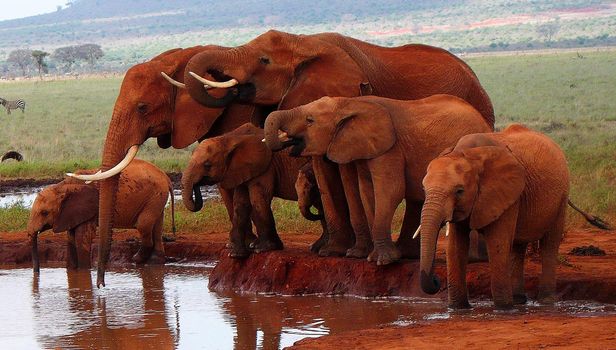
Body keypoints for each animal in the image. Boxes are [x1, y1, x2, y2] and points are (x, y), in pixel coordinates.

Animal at [28, 159, 173, 274]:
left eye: (44, 213)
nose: (36, 272)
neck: (62, 186)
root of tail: (166, 178)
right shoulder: (70, 213)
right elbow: (71, 238)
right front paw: (72, 270)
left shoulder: (87, 209)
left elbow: (81, 239)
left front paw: (83, 272)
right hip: (156, 198)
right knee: (157, 227)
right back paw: (154, 262)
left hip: (155, 197)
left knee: (143, 225)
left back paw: (136, 259)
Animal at [180, 123, 320, 258]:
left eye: (207, 165)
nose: (197, 184)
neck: (229, 138)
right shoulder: (241, 170)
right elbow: (240, 204)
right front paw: (236, 255)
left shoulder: (265, 167)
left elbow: (258, 199)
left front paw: (263, 249)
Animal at [264, 94, 490, 264]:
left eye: (310, 120)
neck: (349, 103)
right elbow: (366, 191)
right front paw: (367, 257)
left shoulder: (390, 149)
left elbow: (390, 190)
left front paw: (383, 261)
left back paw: (473, 259)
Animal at [418, 124, 572, 310]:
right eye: (424, 189)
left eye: (459, 191)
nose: (436, 280)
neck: (469, 154)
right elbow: (455, 246)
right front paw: (458, 308)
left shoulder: (505, 191)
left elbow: (497, 243)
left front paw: (503, 308)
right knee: (517, 246)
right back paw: (519, 300)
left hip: (561, 195)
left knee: (549, 244)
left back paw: (545, 302)